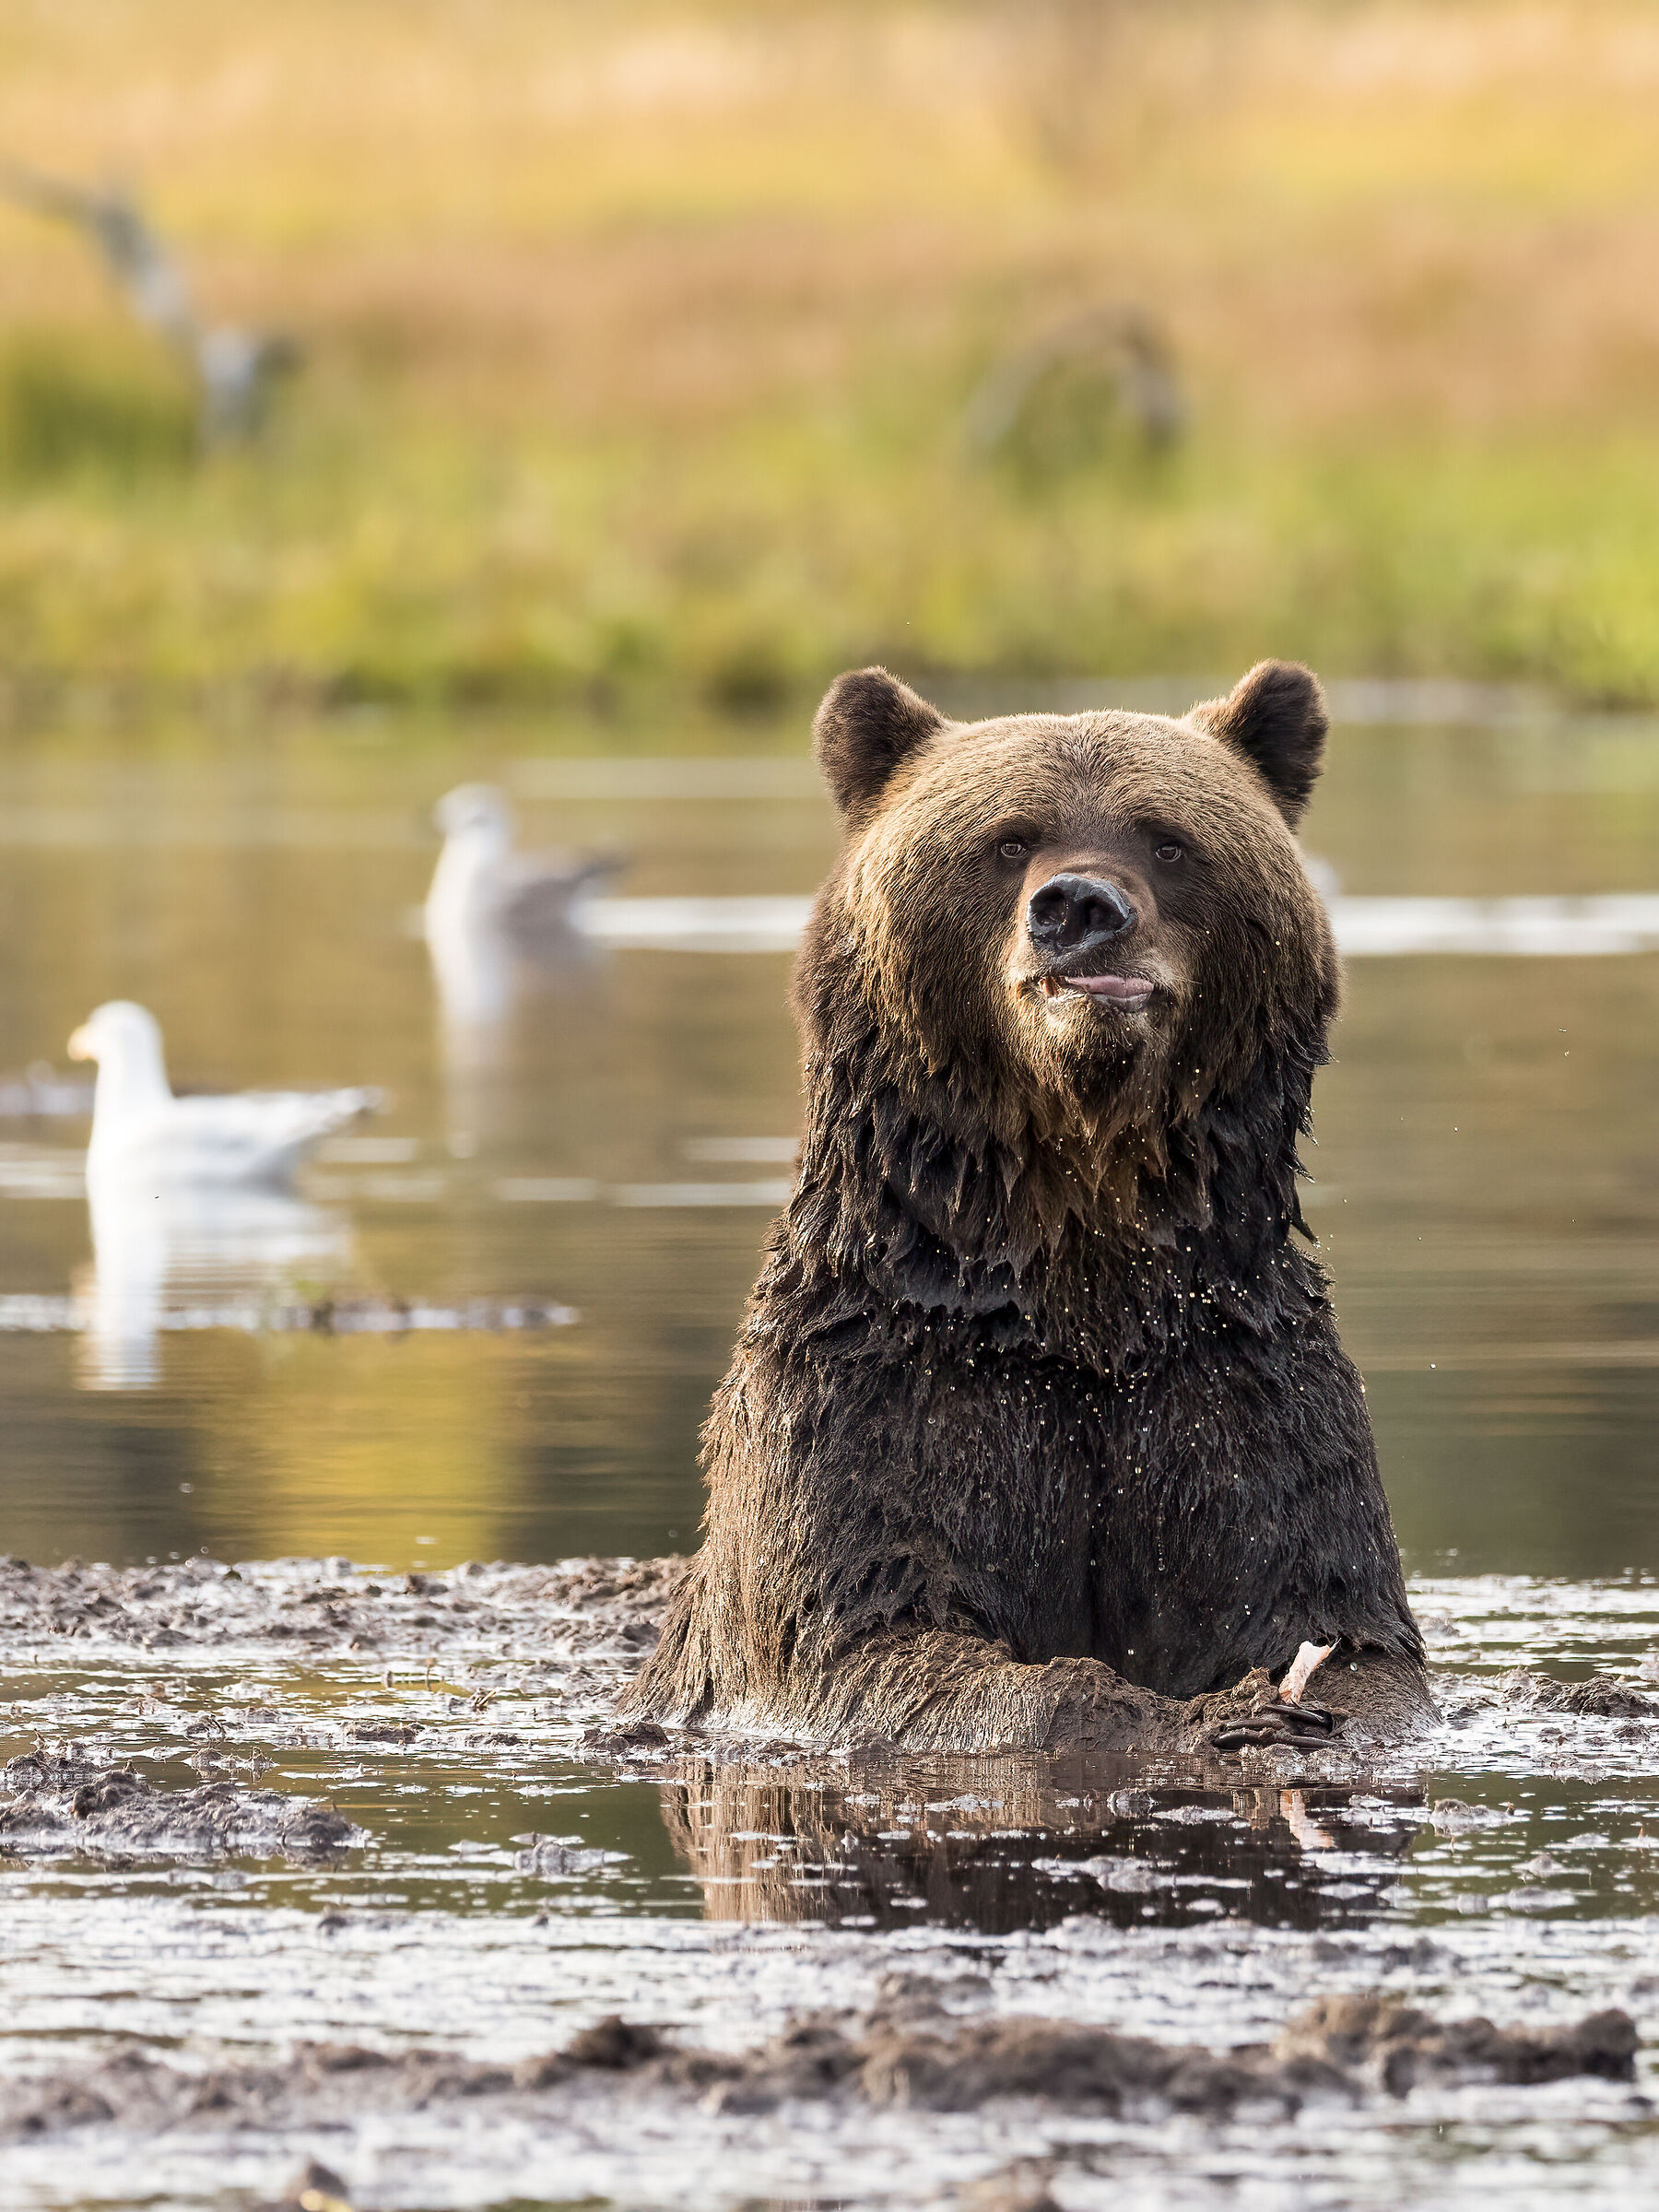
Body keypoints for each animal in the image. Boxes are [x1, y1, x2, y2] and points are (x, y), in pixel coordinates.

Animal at [625, 661, 1432, 1754]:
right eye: (1008, 839)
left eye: (1166, 838)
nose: (1079, 905)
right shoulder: (889, 1389)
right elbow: (867, 1627)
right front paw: (1179, 1716)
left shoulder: (1231, 1385)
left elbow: (1340, 1625)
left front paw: (1279, 1701)